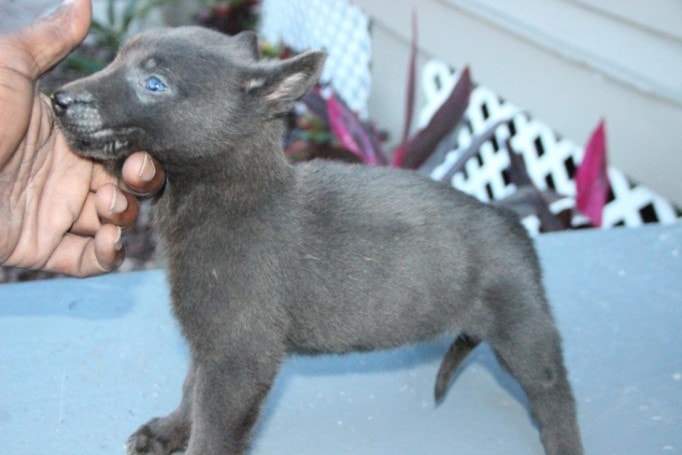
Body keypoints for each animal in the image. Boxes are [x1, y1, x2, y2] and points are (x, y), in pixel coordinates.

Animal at [51, 26, 580, 454]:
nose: (57, 98)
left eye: (154, 84)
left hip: (525, 334)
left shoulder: (240, 358)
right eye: (116, 59)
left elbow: (213, 429)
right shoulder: (212, 340)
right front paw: (167, 432)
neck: (223, 197)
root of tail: (510, 217)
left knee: (556, 398)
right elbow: (190, 389)